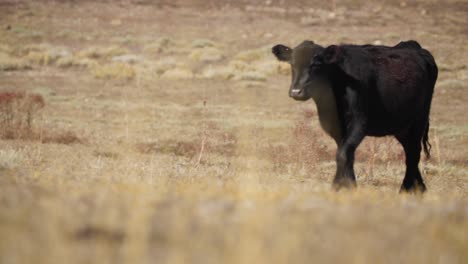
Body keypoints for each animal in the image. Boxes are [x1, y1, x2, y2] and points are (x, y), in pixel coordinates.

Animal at [272, 39, 436, 192]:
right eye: (292, 64)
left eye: (316, 65)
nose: (296, 92)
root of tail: (414, 46)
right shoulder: (335, 125)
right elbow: (346, 154)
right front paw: (349, 186)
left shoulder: (359, 121)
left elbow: (343, 154)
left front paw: (338, 187)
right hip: (401, 126)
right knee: (410, 151)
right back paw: (419, 188)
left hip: (419, 119)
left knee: (414, 153)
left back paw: (406, 189)